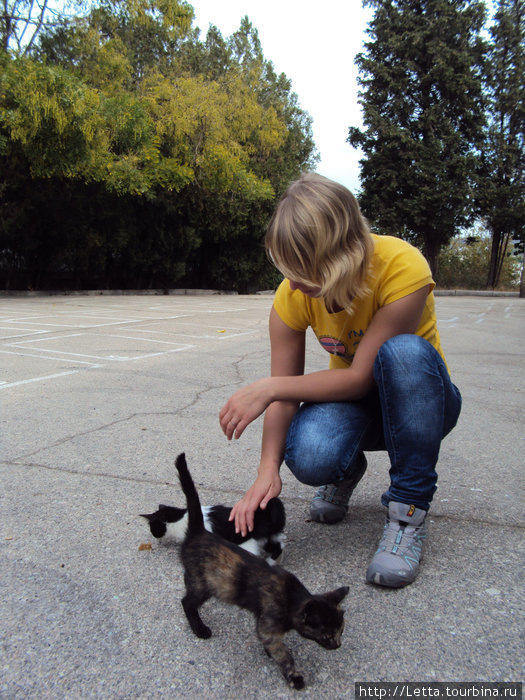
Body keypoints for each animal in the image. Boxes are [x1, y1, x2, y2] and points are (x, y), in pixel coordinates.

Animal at [141, 498, 284, 564]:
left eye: (153, 529)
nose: (156, 539)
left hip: (247, 543)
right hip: (265, 539)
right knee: (279, 546)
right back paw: (271, 562)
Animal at [174, 454, 350, 688]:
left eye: (342, 630)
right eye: (327, 636)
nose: (338, 645)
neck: (291, 597)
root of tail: (199, 532)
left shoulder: (262, 620)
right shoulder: (269, 626)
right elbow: (283, 653)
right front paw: (294, 676)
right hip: (203, 583)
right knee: (187, 602)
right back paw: (199, 628)